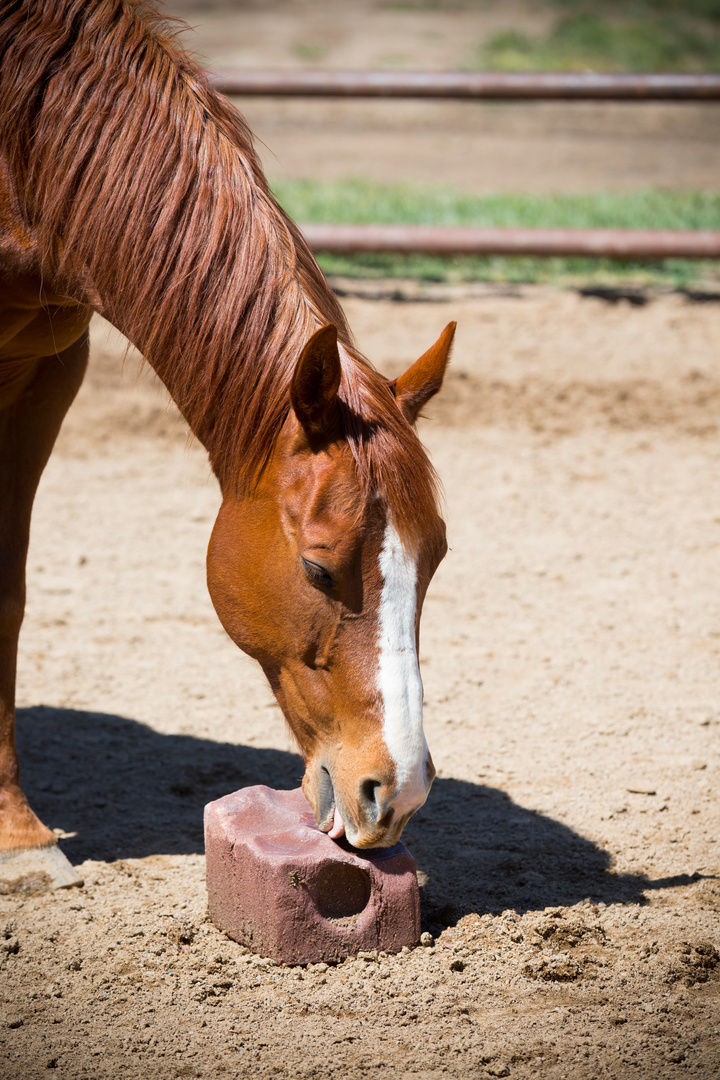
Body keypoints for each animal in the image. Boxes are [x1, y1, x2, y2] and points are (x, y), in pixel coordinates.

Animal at [0, 0, 453, 876]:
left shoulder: (47, 368)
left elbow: (6, 594)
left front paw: (16, 836)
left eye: (437, 558)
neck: (18, 157)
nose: (399, 793)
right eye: (317, 568)